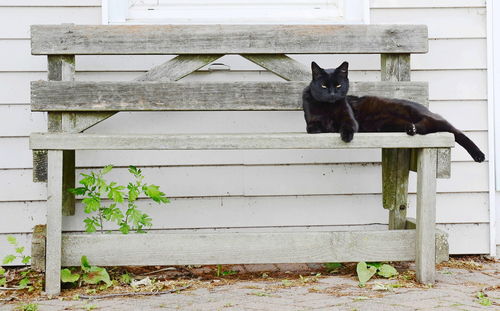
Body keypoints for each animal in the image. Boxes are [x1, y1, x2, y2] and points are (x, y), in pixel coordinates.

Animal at [302, 61, 486, 163]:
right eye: (323, 86)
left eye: (338, 85)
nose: (332, 94)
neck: (328, 107)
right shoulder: (311, 120)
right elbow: (313, 126)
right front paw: (322, 127)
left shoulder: (349, 118)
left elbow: (347, 125)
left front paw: (346, 135)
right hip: (389, 123)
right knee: (428, 127)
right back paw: (412, 129)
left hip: (415, 112)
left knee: (453, 130)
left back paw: (479, 155)